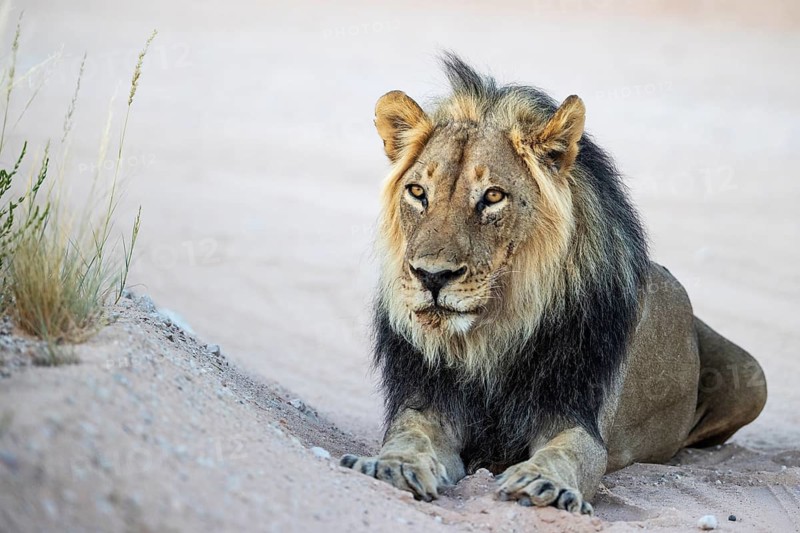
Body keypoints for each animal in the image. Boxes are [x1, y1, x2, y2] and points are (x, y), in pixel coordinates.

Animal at [340, 54, 767, 515]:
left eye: (493, 197)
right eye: (418, 192)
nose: (432, 276)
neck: (492, 334)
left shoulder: (577, 417)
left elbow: (569, 454)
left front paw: (542, 482)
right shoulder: (426, 403)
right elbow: (408, 436)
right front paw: (394, 466)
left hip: (753, 377)